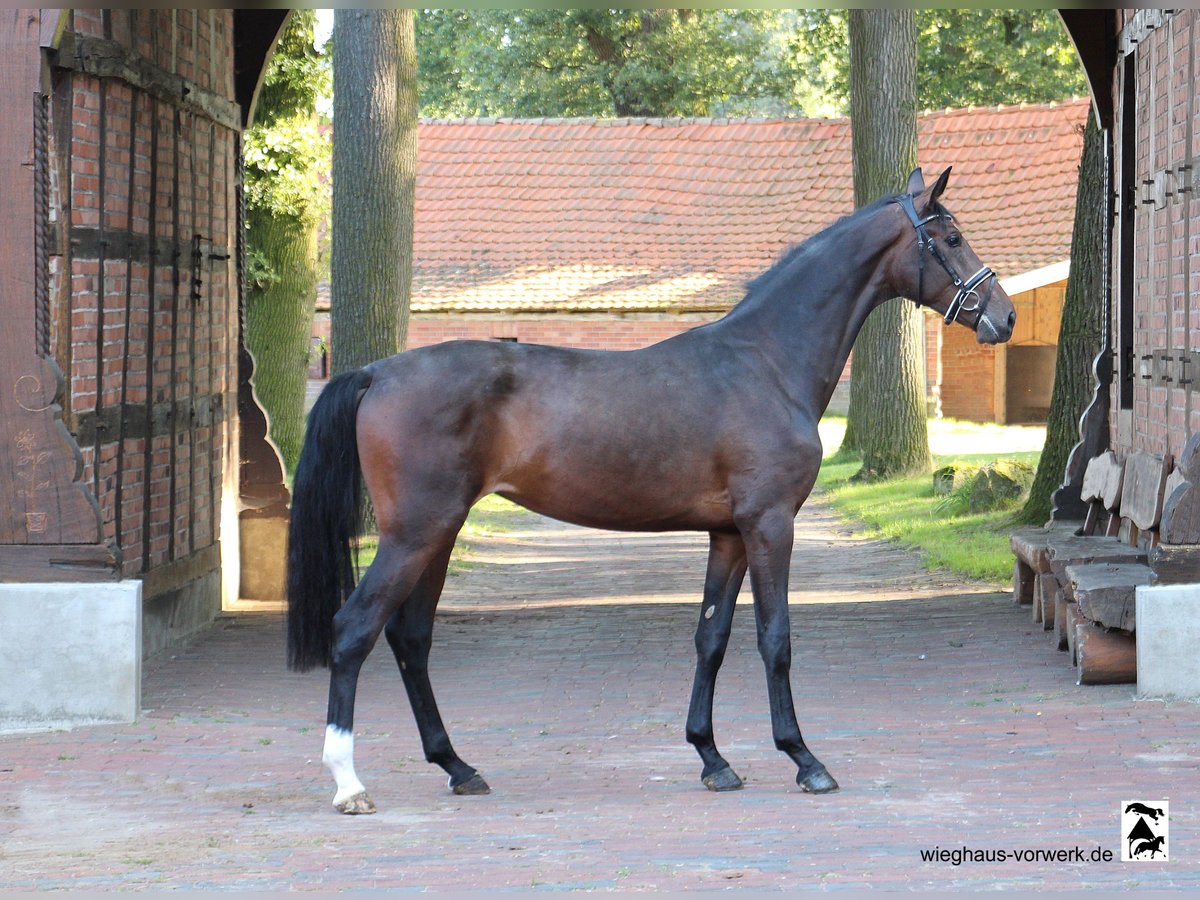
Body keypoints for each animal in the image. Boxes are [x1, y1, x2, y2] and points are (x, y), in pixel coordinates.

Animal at [288, 165, 1012, 816]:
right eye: (950, 237)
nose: (1002, 316)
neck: (766, 362)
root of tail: (377, 372)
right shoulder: (771, 524)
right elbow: (774, 638)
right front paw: (805, 760)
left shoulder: (729, 534)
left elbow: (711, 638)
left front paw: (713, 759)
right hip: (415, 533)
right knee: (354, 629)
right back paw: (349, 785)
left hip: (438, 534)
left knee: (411, 639)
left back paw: (458, 767)